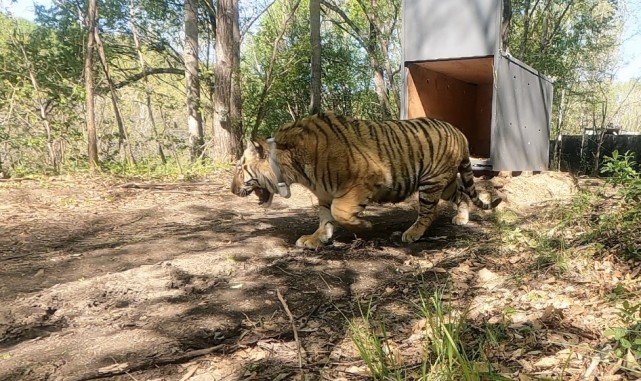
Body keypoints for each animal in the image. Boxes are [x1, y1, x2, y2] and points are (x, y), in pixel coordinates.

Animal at [230, 111, 500, 248]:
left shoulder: (365, 179)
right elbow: (325, 217)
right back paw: (462, 218)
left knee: (428, 212)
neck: (290, 167)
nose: (232, 190)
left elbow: (340, 211)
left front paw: (365, 226)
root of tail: (459, 131)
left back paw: (412, 233)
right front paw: (317, 238)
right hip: (444, 182)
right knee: (461, 194)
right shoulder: (324, 193)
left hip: (431, 182)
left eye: (240, 168)